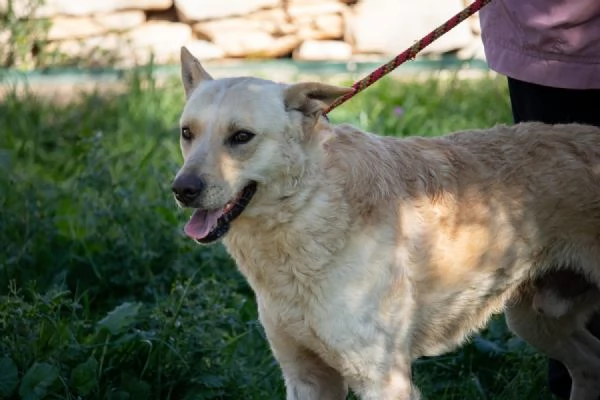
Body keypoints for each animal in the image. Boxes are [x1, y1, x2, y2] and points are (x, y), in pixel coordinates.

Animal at [171, 47, 600, 400]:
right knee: (589, 366)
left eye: (241, 137)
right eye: (187, 133)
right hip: (535, 319)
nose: (182, 189)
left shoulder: (383, 380)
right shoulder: (307, 376)